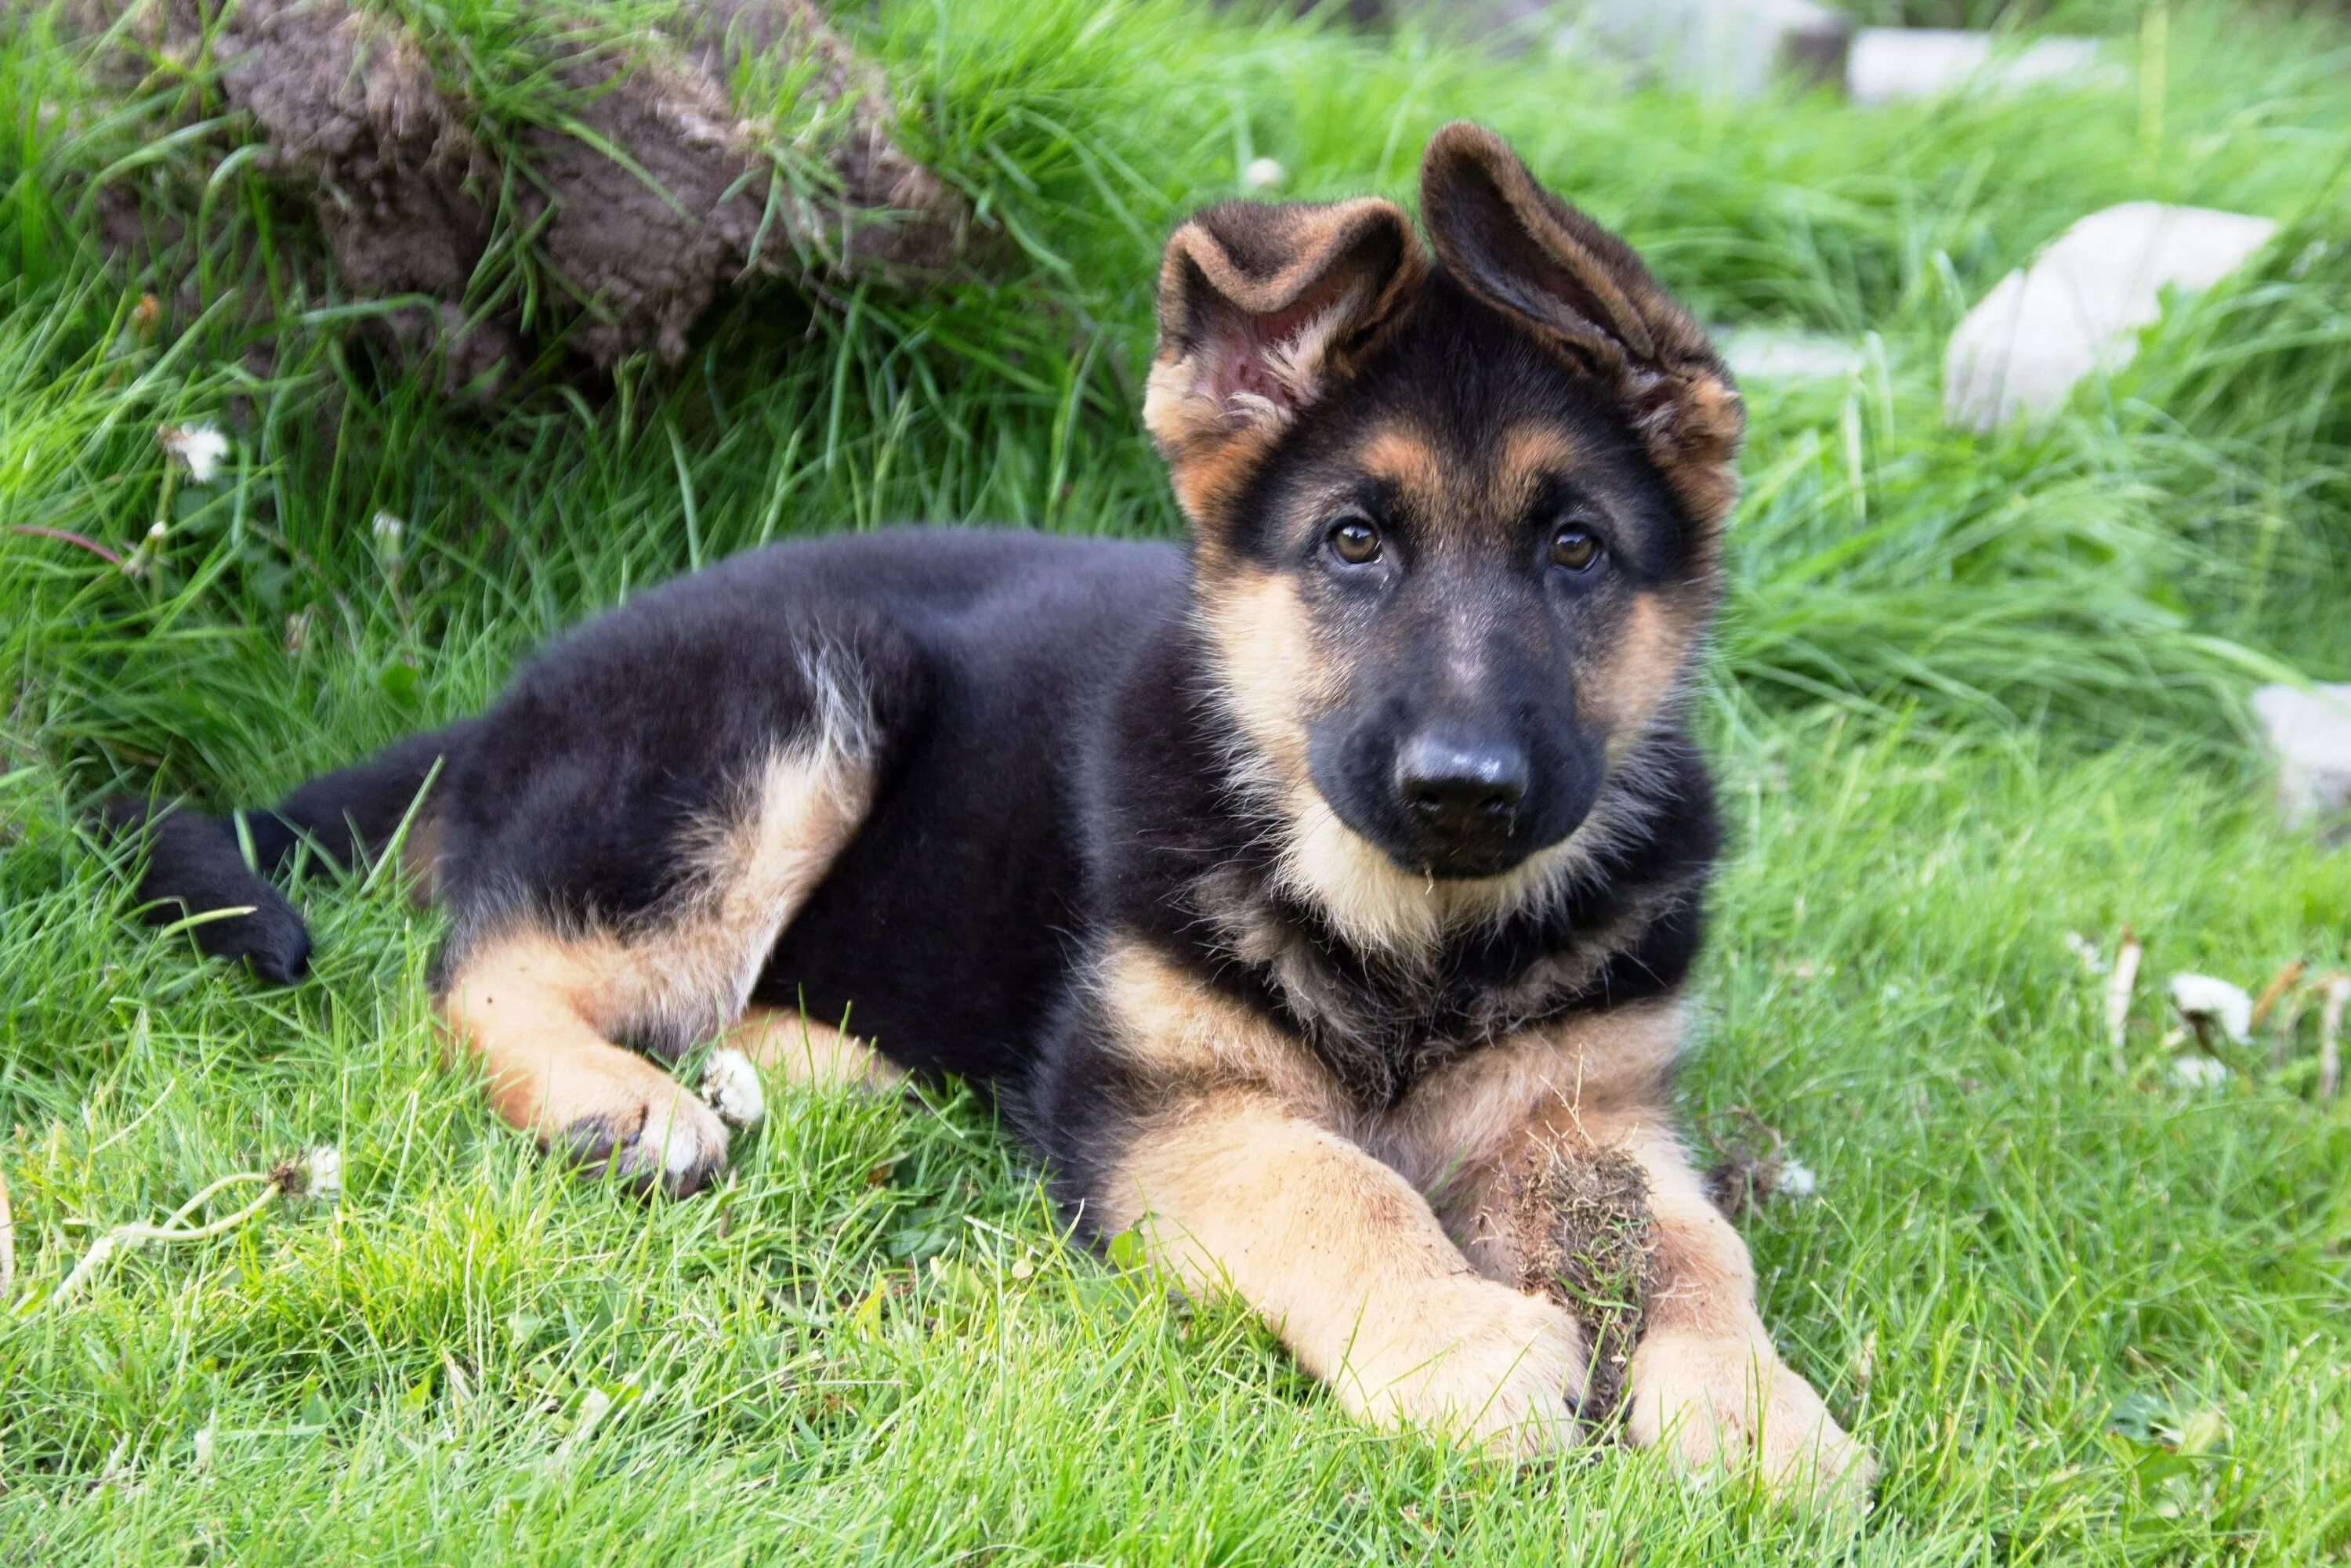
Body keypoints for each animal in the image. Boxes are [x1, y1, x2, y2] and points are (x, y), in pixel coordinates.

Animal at [110, 122, 1871, 1495]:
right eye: (1354, 543)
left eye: (1576, 551)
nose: (1463, 788)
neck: (1417, 936)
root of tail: (501, 708)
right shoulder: (1157, 1113)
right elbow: (1335, 1181)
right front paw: (1458, 1341)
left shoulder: (1596, 1116)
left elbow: (1694, 1248)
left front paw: (1756, 1409)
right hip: (805, 692)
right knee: (488, 958)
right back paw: (624, 1102)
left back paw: (810, 1074)